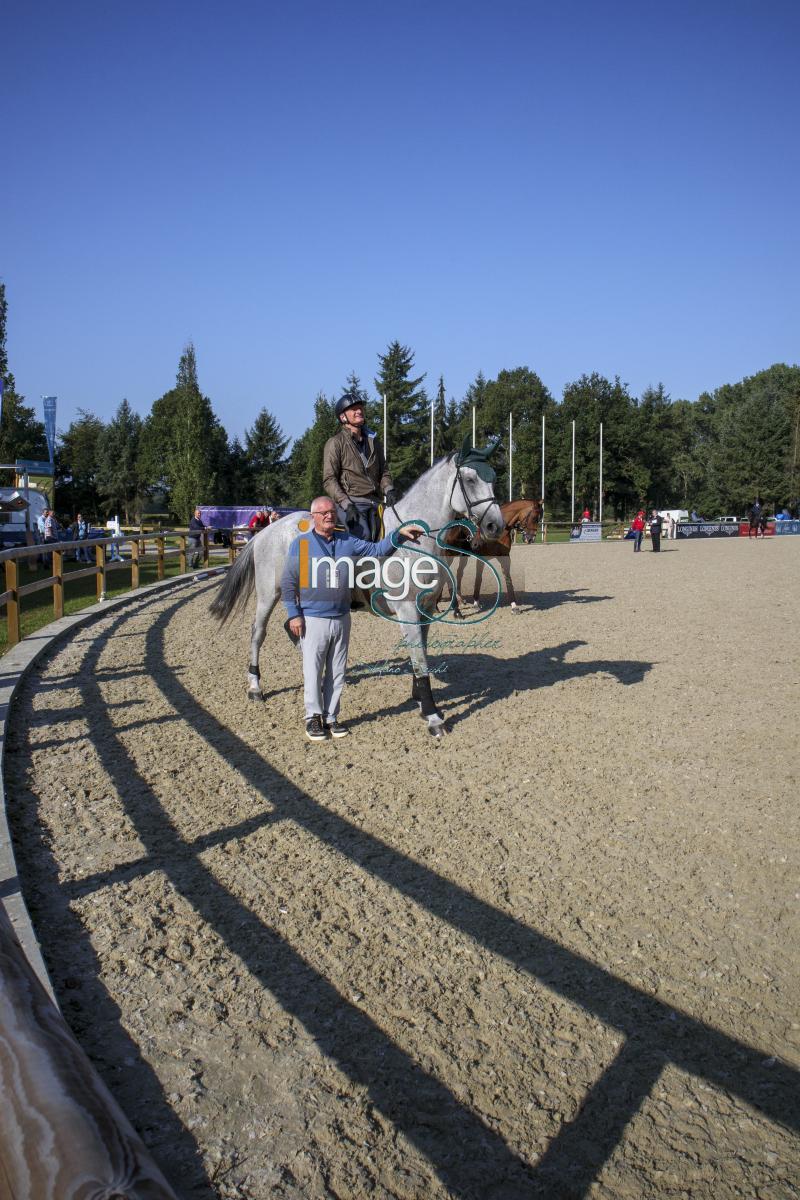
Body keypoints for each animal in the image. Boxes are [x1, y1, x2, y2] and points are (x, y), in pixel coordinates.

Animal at [209, 444, 503, 734]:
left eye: (493, 479)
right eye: (470, 479)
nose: (495, 526)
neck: (414, 540)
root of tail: (266, 531)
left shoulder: (426, 610)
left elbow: (420, 654)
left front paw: (420, 700)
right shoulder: (407, 609)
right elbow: (419, 659)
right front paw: (433, 716)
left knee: (294, 628)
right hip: (268, 594)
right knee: (258, 633)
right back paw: (255, 686)